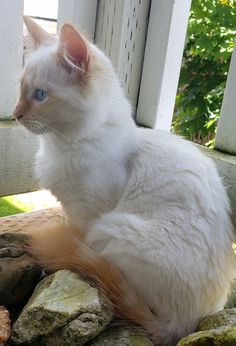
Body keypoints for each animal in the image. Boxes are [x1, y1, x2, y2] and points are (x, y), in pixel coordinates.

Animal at [13, 17, 235, 344]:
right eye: (21, 89)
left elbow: (75, 236)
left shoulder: (86, 214)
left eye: (40, 95)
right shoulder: (71, 209)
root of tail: (183, 326)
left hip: (111, 229)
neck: (65, 143)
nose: (15, 115)